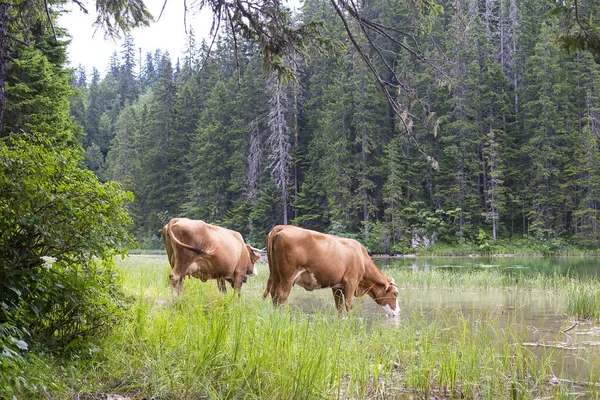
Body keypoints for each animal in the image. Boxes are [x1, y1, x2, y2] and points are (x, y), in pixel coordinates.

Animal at [264, 225, 398, 316]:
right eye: (395, 294)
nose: (398, 312)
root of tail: (283, 227)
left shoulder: (337, 286)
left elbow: (339, 307)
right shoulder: (351, 281)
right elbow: (349, 305)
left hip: (275, 274)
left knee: (274, 293)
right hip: (288, 276)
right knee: (282, 296)